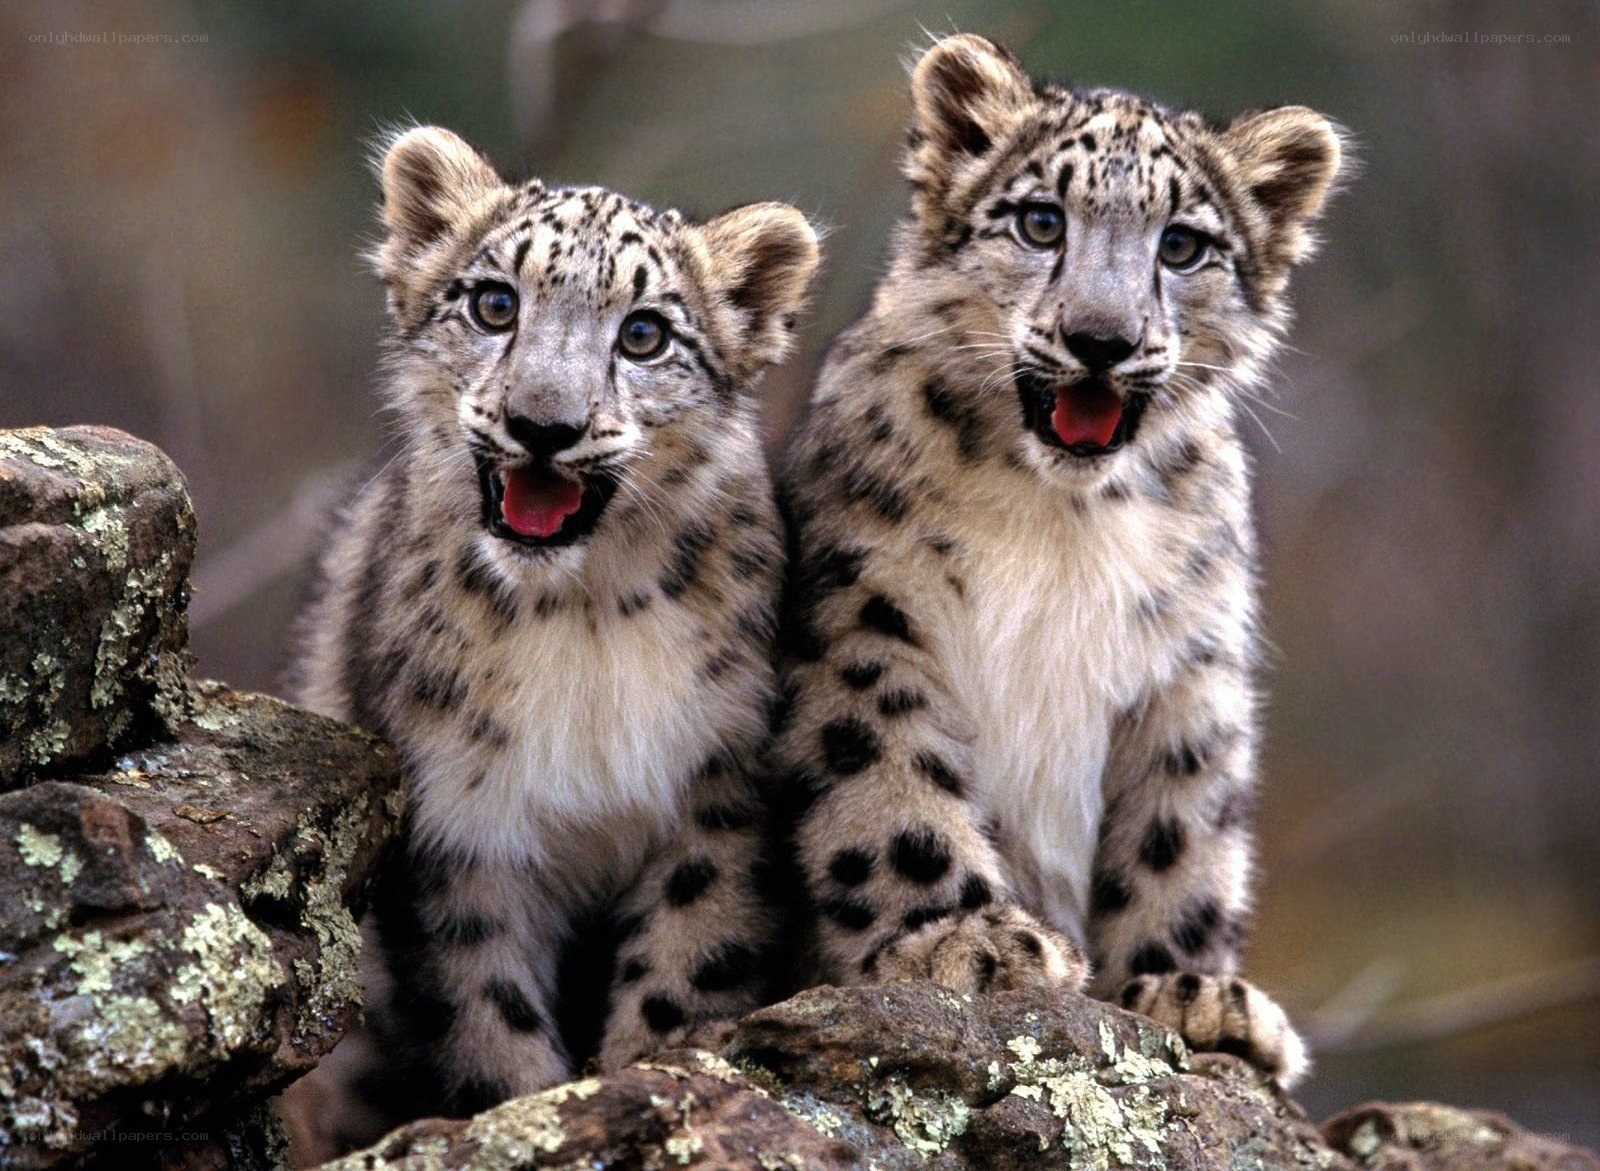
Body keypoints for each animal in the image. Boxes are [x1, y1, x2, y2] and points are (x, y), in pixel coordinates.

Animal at [279, 125, 819, 1156]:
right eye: (495, 303)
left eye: (644, 333)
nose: (543, 425)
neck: (581, 621)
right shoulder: (460, 824)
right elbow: (488, 1014)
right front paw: (527, 1113)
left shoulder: (717, 791)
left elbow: (685, 967)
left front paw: (646, 1076)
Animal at [772, 33, 1348, 1087]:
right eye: (1041, 220)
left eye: (1182, 244)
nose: (1101, 339)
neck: (1061, 520)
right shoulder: (864, 612)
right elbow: (888, 778)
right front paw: (963, 939)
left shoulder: (1190, 661)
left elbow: (1180, 828)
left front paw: (1190, 991)